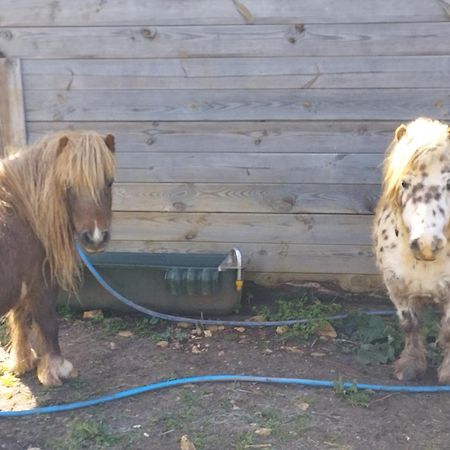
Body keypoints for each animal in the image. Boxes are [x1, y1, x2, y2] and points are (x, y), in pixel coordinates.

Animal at [0, 131, 116, 386]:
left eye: (109, 181)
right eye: (68, 185)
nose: (95, 237)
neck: (21, 211)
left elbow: (19, 318)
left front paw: (23, 361)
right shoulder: (40, 282)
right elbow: (48, 322)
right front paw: (57, 369)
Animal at [374, 117, 450, 384]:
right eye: (404, 183)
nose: (427, 245)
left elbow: (448, 330)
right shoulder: (397, 287)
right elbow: (410, 324)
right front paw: (410, 365)